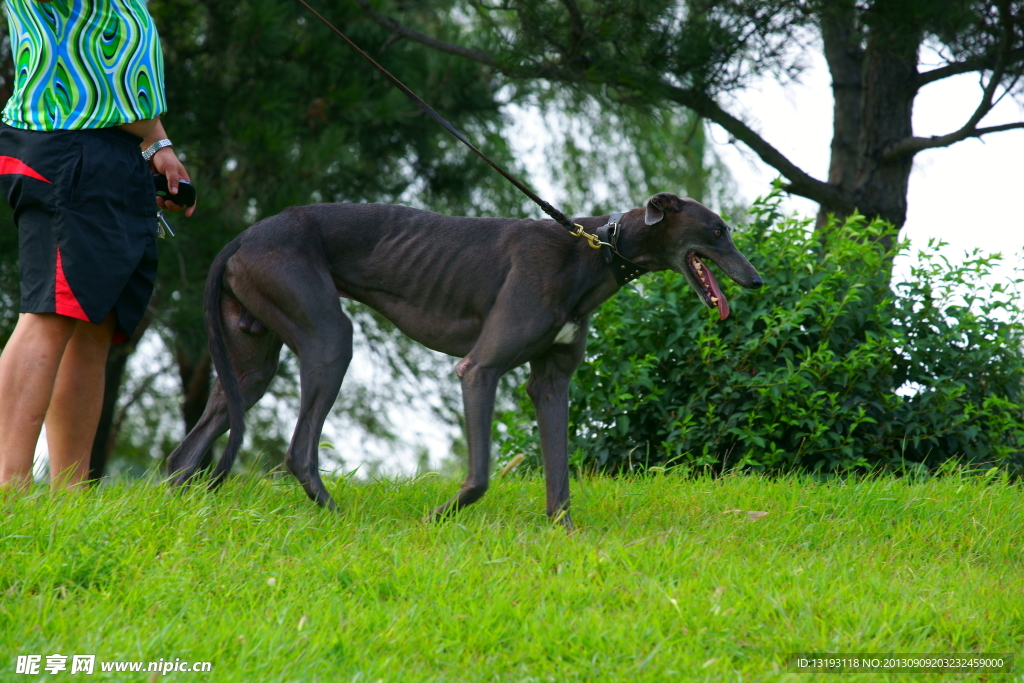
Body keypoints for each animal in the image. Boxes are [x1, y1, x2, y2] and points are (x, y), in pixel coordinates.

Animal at [165, 191, 761, 524]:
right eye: (718, 231)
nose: (756, 280)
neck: (594, 249)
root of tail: (241, 238)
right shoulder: (479, 370)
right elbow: (479, 478)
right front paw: (434, 520)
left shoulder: (551, 383)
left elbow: (559, 481)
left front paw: (564, 540)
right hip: (328, 338)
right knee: (299, 450)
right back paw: (342, 521)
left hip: (250, 363)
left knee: (185, 453)